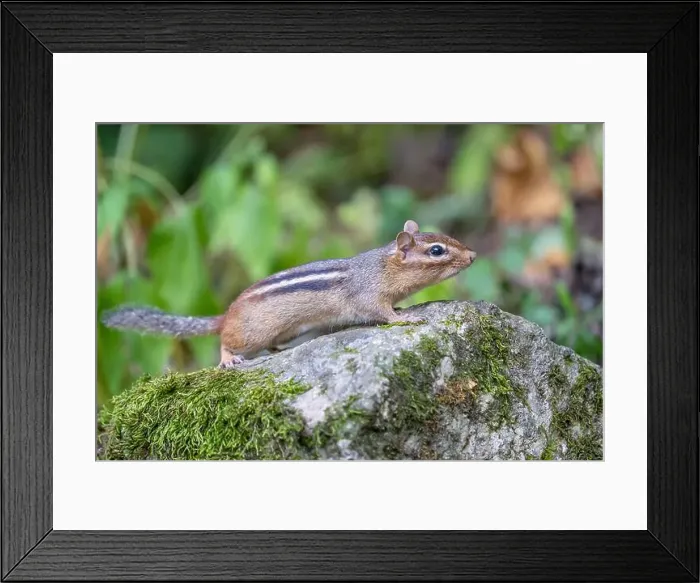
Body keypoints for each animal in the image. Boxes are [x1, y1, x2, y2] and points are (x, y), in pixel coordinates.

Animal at [101, 219, 477, 369]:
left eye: (444, 237)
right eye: (437, 251)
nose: (473, 255)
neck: (381, 266)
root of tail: (226, 313)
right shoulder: (368, 295)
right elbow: (382, 313)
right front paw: (406, 317)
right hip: (250, 332)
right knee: (225, 340)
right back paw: (228, 359)